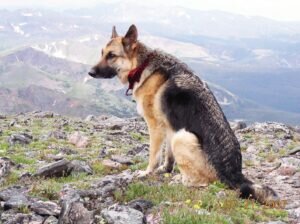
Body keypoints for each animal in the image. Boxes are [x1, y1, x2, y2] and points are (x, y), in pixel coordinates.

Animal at [89, 25, 278, 205]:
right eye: (101, 53)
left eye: (112, 55)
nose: (90, 72)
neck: (141, 66)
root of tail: (234, 174)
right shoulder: (168, 127)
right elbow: (167, 156)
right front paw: (165, 170)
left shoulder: (155, 127)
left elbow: (153, 155)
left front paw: (147, 172)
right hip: (177, 135)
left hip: (183, 137)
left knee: (200, 182)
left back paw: (180, 180)